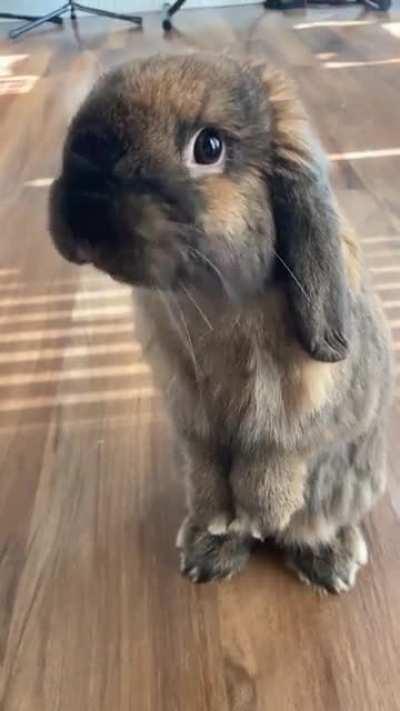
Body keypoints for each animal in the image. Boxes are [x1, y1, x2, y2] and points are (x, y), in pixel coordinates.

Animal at [49, 53, 393, 593]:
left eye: (207, 148)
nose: (83, 208)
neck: (212, 299)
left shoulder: (298, 411)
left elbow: (274, 459)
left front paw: (263, 514)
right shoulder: (190, 416)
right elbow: (208, 467)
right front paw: (218, 522)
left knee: (314, 520)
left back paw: (328, 563)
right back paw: (207, 552)